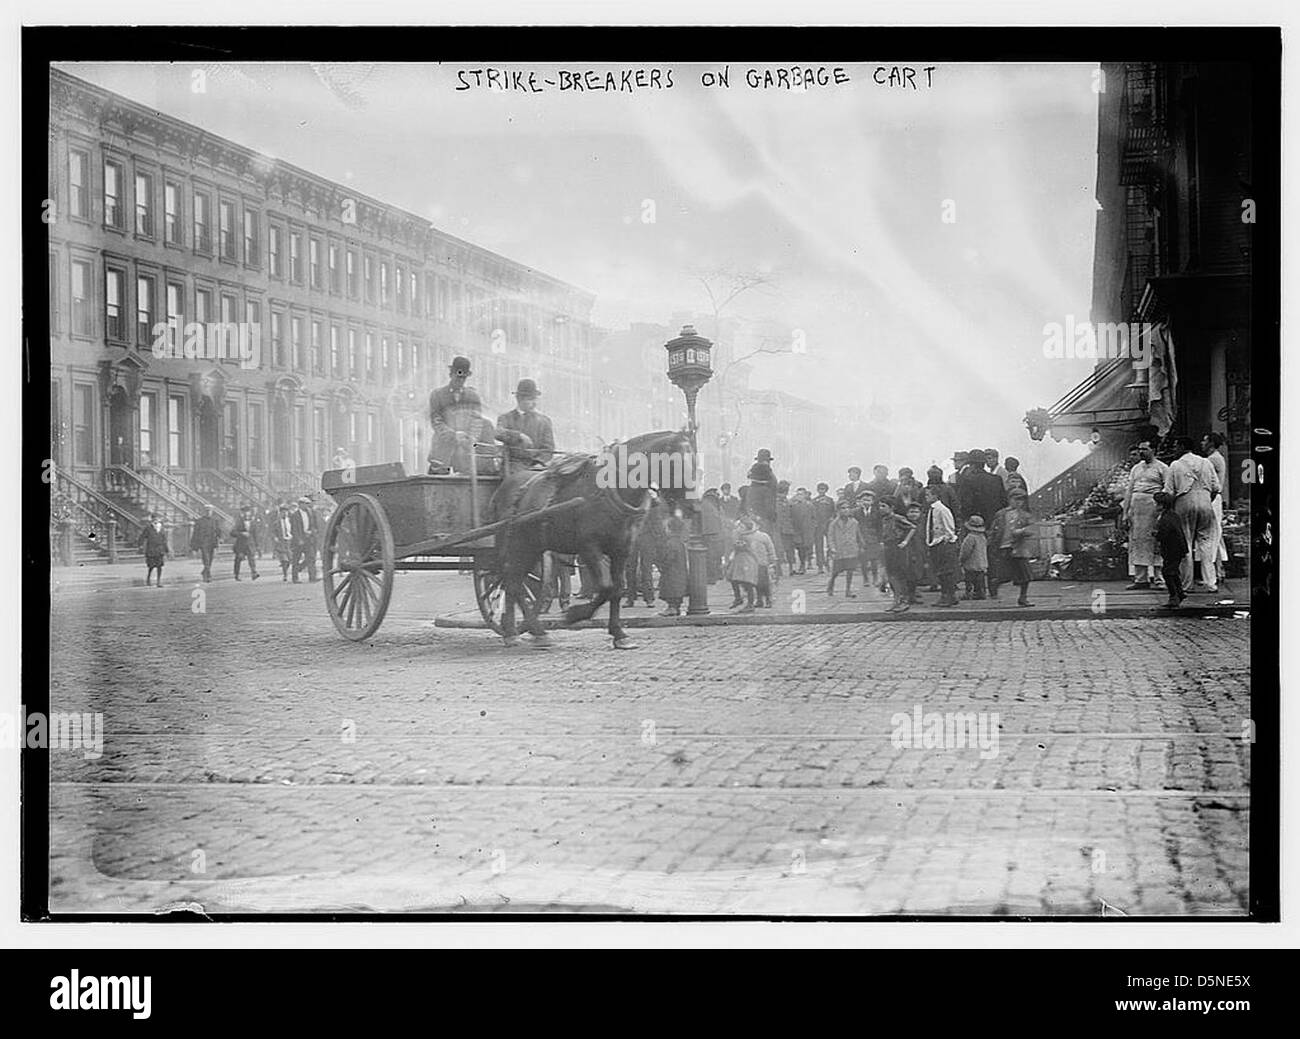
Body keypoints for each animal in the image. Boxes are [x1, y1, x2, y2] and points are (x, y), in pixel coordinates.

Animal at [488, 431, 696, 650]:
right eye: (676, 462)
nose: (693, 506)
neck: (613, 489)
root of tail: (504, 487)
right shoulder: (589, 548)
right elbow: (606, 587)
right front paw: (575, 614)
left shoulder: (622, 550)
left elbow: (616, 589)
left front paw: (619, 633)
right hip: (518, 545)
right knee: (511, 582)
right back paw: (517, 632)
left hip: (532, 547)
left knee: (514, 583)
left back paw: (527, 631)